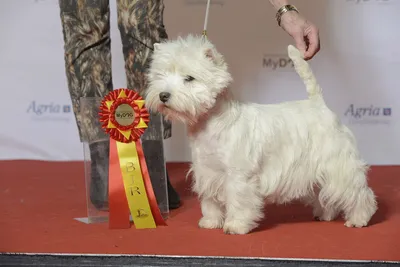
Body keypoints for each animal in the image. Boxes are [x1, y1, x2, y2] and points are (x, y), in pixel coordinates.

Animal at [145, 34, 378, 236]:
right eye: (160, 76)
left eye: (189, 78)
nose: (163, 95)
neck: (211, 123)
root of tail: (319, 105)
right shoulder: (206, 171)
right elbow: (210, 200)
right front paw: (210, 222)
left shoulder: (238, 175)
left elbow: (238, 200)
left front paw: (235, 225)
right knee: (323, 191)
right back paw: (325, 214)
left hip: (338, 164)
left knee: (357, 192)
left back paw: (359, 219)